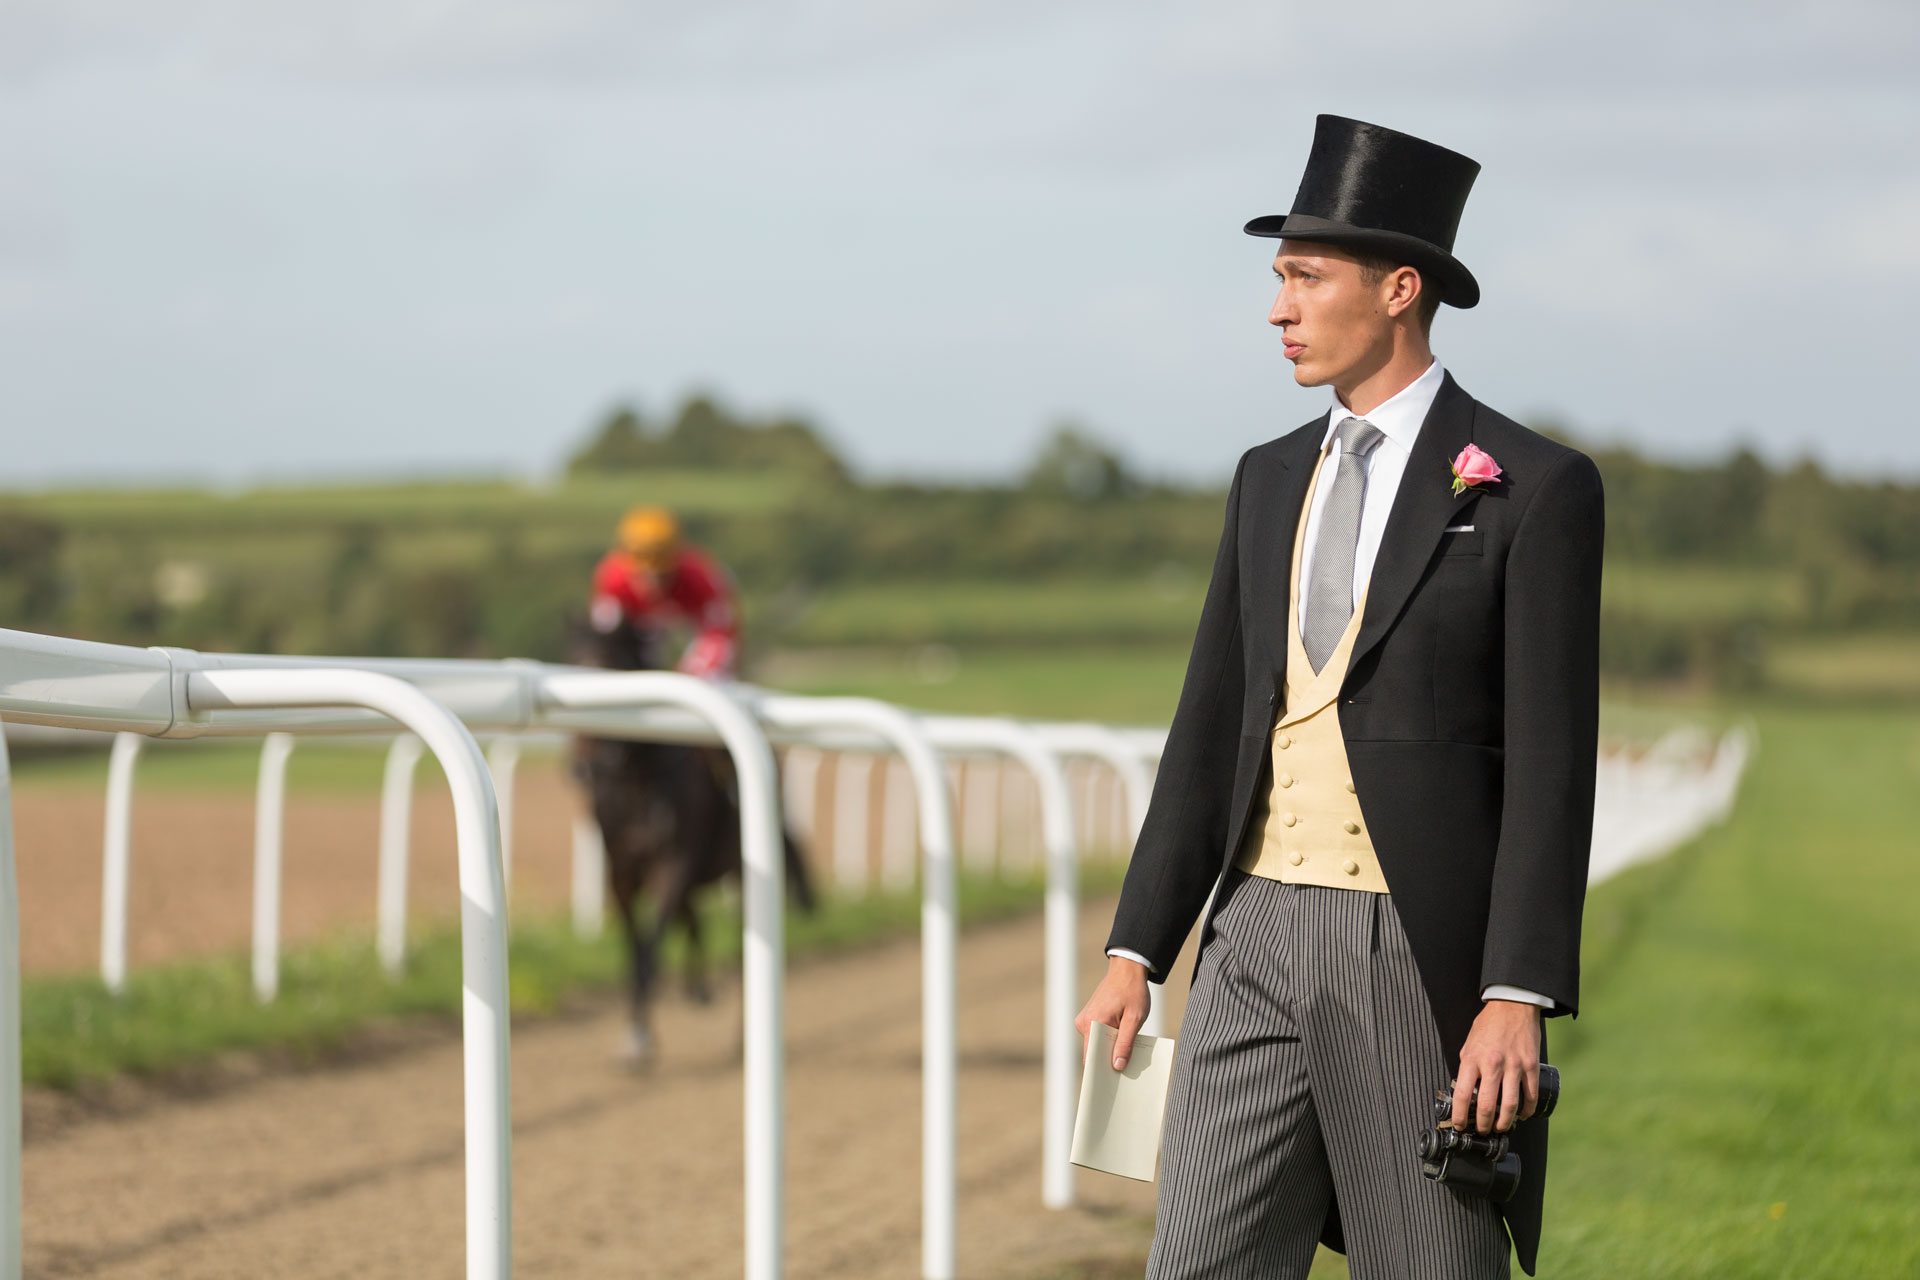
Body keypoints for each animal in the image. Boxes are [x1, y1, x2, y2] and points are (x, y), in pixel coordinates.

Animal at [560, 614, 817, 1066]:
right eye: (570, 661)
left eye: (613, 663)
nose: (587, 765)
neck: (639, 782)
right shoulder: (621, 872)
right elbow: (636, 950)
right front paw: (639, 1028)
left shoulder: (674, 862)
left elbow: (652, 948)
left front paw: (640, 1036)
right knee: (693, 918)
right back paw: (698, 987)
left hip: (739, 868)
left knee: (740, 946)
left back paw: (740, 1034)